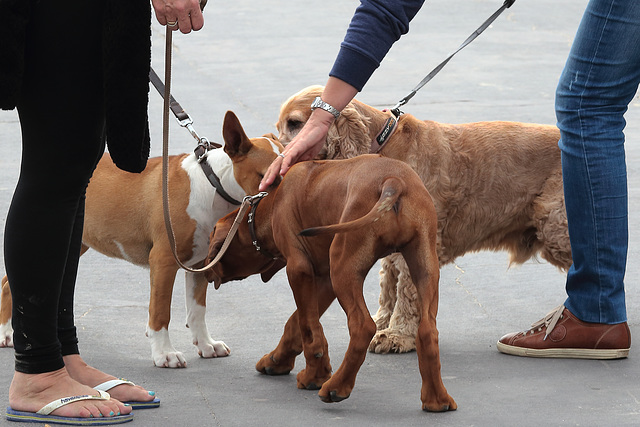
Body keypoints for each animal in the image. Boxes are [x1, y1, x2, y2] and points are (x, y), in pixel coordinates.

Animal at [0, 112, 282, 370]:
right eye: (270, 177)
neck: (213, 184)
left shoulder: (200, 264)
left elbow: (197, 309)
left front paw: (206, 344)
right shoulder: (164, 261)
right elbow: (160, 311)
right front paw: (164, 353)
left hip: (77, 241)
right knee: (9, 283)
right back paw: (7, 332)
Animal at [204, 155, 456, 412]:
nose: (204, 270)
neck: (270, 205)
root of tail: (394, 181)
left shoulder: (298, 269)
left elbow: (308, 327)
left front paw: (313, 377)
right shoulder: (324, 278)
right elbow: (297, 322)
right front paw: (278, 360)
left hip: (344, 266)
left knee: (362, 326)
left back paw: (336, 388)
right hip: (423, 265)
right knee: (428, 330)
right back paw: (436, 399)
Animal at [276, 86, 568, 354]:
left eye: (295, 124)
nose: (280, 160)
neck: (384, 148)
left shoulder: (418, 244)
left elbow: (407, 293)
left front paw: (397, 335)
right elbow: (388, 288)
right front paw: (381, 324)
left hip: (555, 224)